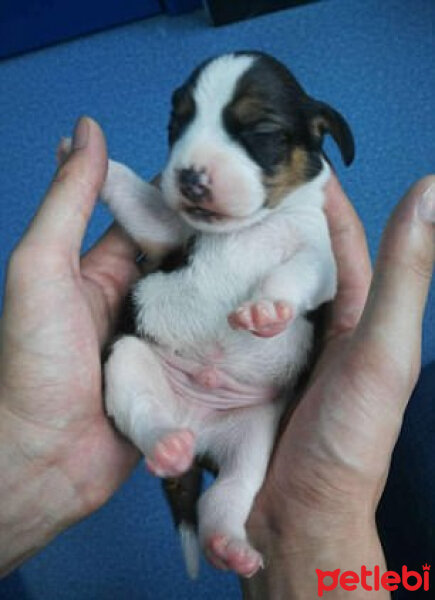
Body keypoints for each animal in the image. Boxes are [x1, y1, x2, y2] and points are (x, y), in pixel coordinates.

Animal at [71, 52, 354, 580]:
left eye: (260, 131)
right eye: (176, 125)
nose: (189, 176)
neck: (248, 227)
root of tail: (195, 430)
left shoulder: (320, 260)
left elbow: (294, 272)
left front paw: (267, 307)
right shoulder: (166, 231)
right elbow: (138, 197)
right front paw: (90, 160)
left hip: (252, 438)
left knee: (224, 498)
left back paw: (228, 544)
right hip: (128, 358)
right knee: (144, 411)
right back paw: (167, 446)